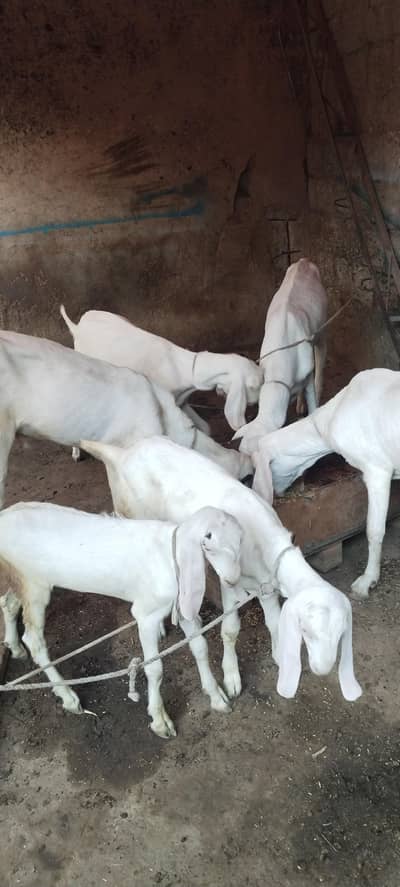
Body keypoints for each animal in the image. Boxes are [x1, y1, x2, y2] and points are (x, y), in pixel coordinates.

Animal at [0, 503, 242, 738]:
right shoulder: (146, 615)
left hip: (20, 579)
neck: (169, 554)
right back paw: (68, 697)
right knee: (34, 640)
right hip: (34, 585)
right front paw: (160, 721)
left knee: (8, 603)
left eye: (240, 540)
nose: (232, 580)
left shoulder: (182, 605)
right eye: (208, 545)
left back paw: (14, 647)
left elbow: (200, 647)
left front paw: (217, 698)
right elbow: (155, 669)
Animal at [60, 306, 263, 437]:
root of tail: (77, 326)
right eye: (253, 386)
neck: (181, 368)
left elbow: (205, 428)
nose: (256, 404)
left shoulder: (181, 402)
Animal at [81, 435, 362, 703]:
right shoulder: (229, 580)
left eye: (341, 632)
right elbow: (230, 630)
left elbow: (273, 622)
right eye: (306, 631)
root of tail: (123, 454)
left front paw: (279, 655)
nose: (323, 669)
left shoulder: (266, 583)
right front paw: (231, 677)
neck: (261, 540)